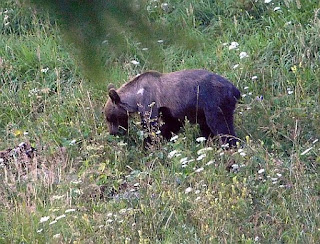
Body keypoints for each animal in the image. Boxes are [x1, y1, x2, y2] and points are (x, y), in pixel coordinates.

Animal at [104, 67, 240, 146]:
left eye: (109, 118)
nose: (113, 133)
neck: (135, 97)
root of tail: (234, 90)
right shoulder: (167, 110)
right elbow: (171, 124)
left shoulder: (149, 101)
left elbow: (151, 126)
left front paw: (148, 144)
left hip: (214, 103)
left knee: (221, 126)